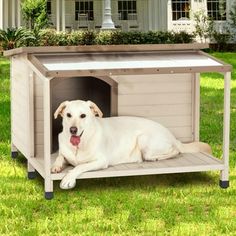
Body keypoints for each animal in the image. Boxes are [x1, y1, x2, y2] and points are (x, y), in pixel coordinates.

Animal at [52, 99, 212, 190]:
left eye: (83, 116)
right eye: (68, 115)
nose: (73, 130)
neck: (78, 146)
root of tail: (172, 135)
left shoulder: (101, 161)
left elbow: (79, 166)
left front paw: (68, 179)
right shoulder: (65, 153)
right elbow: (60, 157)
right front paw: (56, 166)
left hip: (144, 139)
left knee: (175, 151)